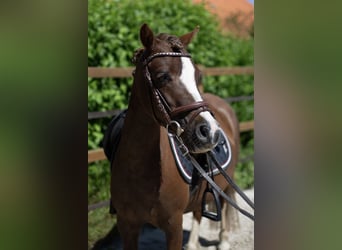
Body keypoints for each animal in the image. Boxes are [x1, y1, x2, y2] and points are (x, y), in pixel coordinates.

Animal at [111, 23, 239, 250]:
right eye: (163, 76)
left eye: (197, 76)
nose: (210, 132)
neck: (139, 170)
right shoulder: (127, 225)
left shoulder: (174, 225)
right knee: (198, 212)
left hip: (226, 182)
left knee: (224, 205)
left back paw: (223, 241)